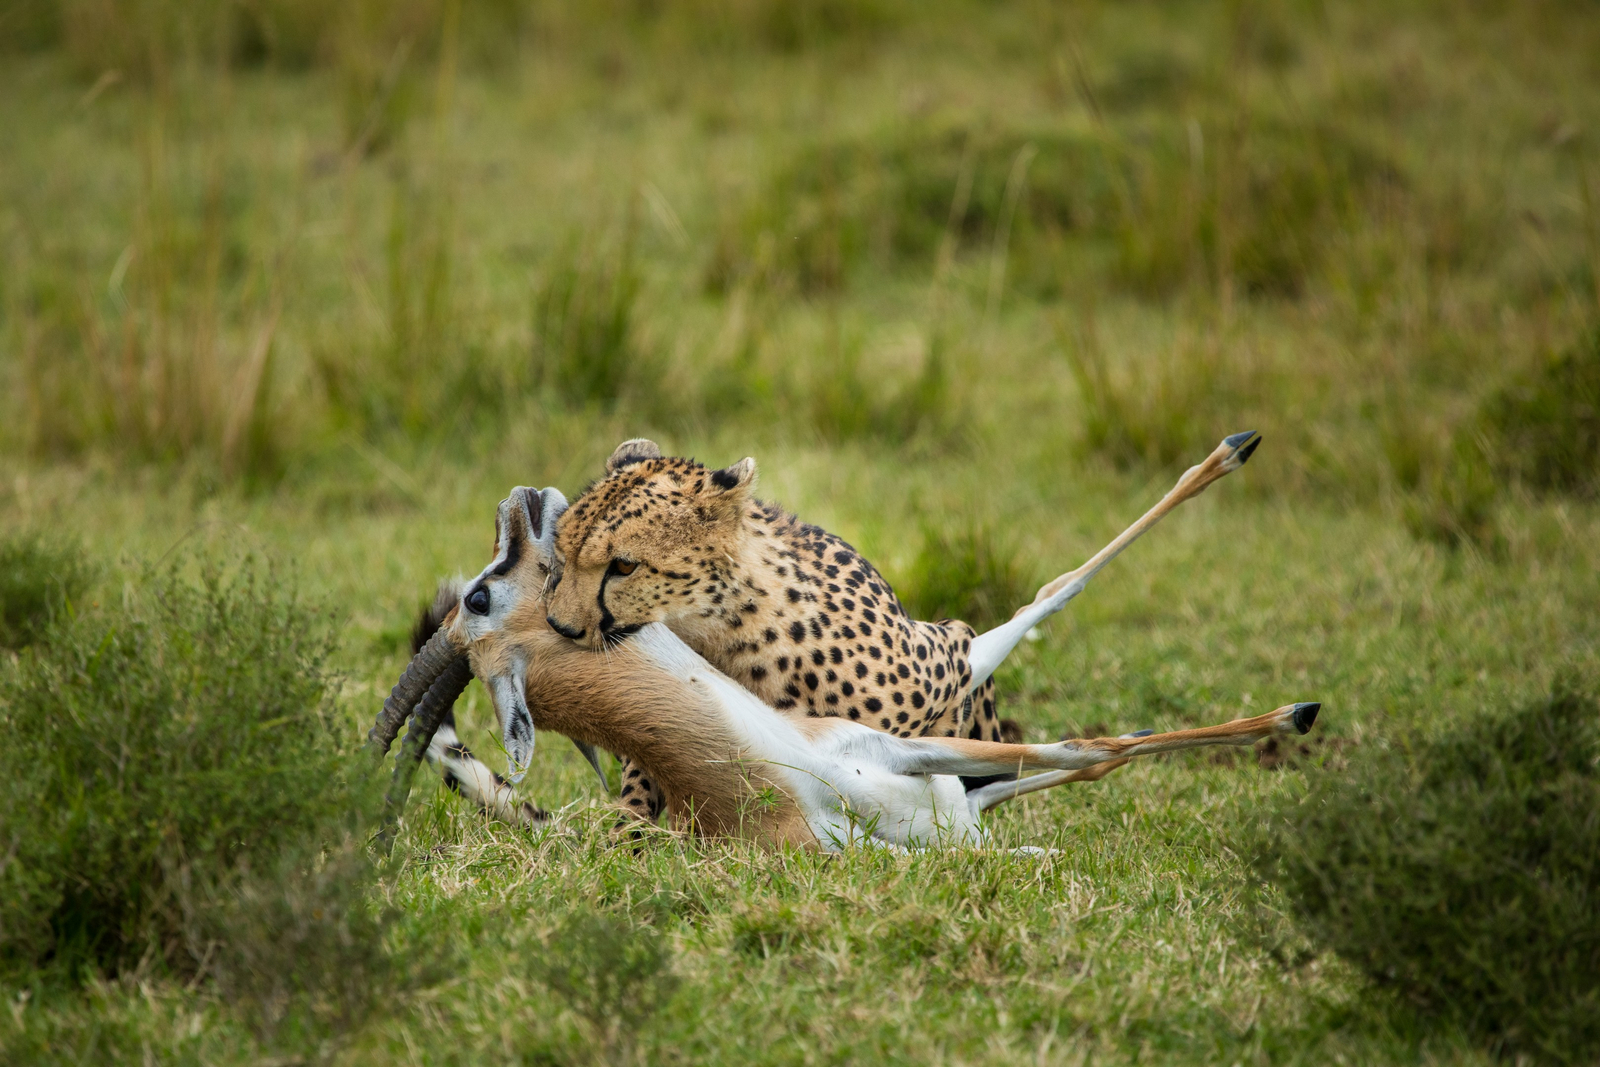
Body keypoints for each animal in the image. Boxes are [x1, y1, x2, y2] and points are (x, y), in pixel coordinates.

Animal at [544, 438, 1019, 822]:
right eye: (562, 555)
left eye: (624, 566)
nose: (558, 626)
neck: (722, 631)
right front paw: (627, 836)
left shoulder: (950, 643)